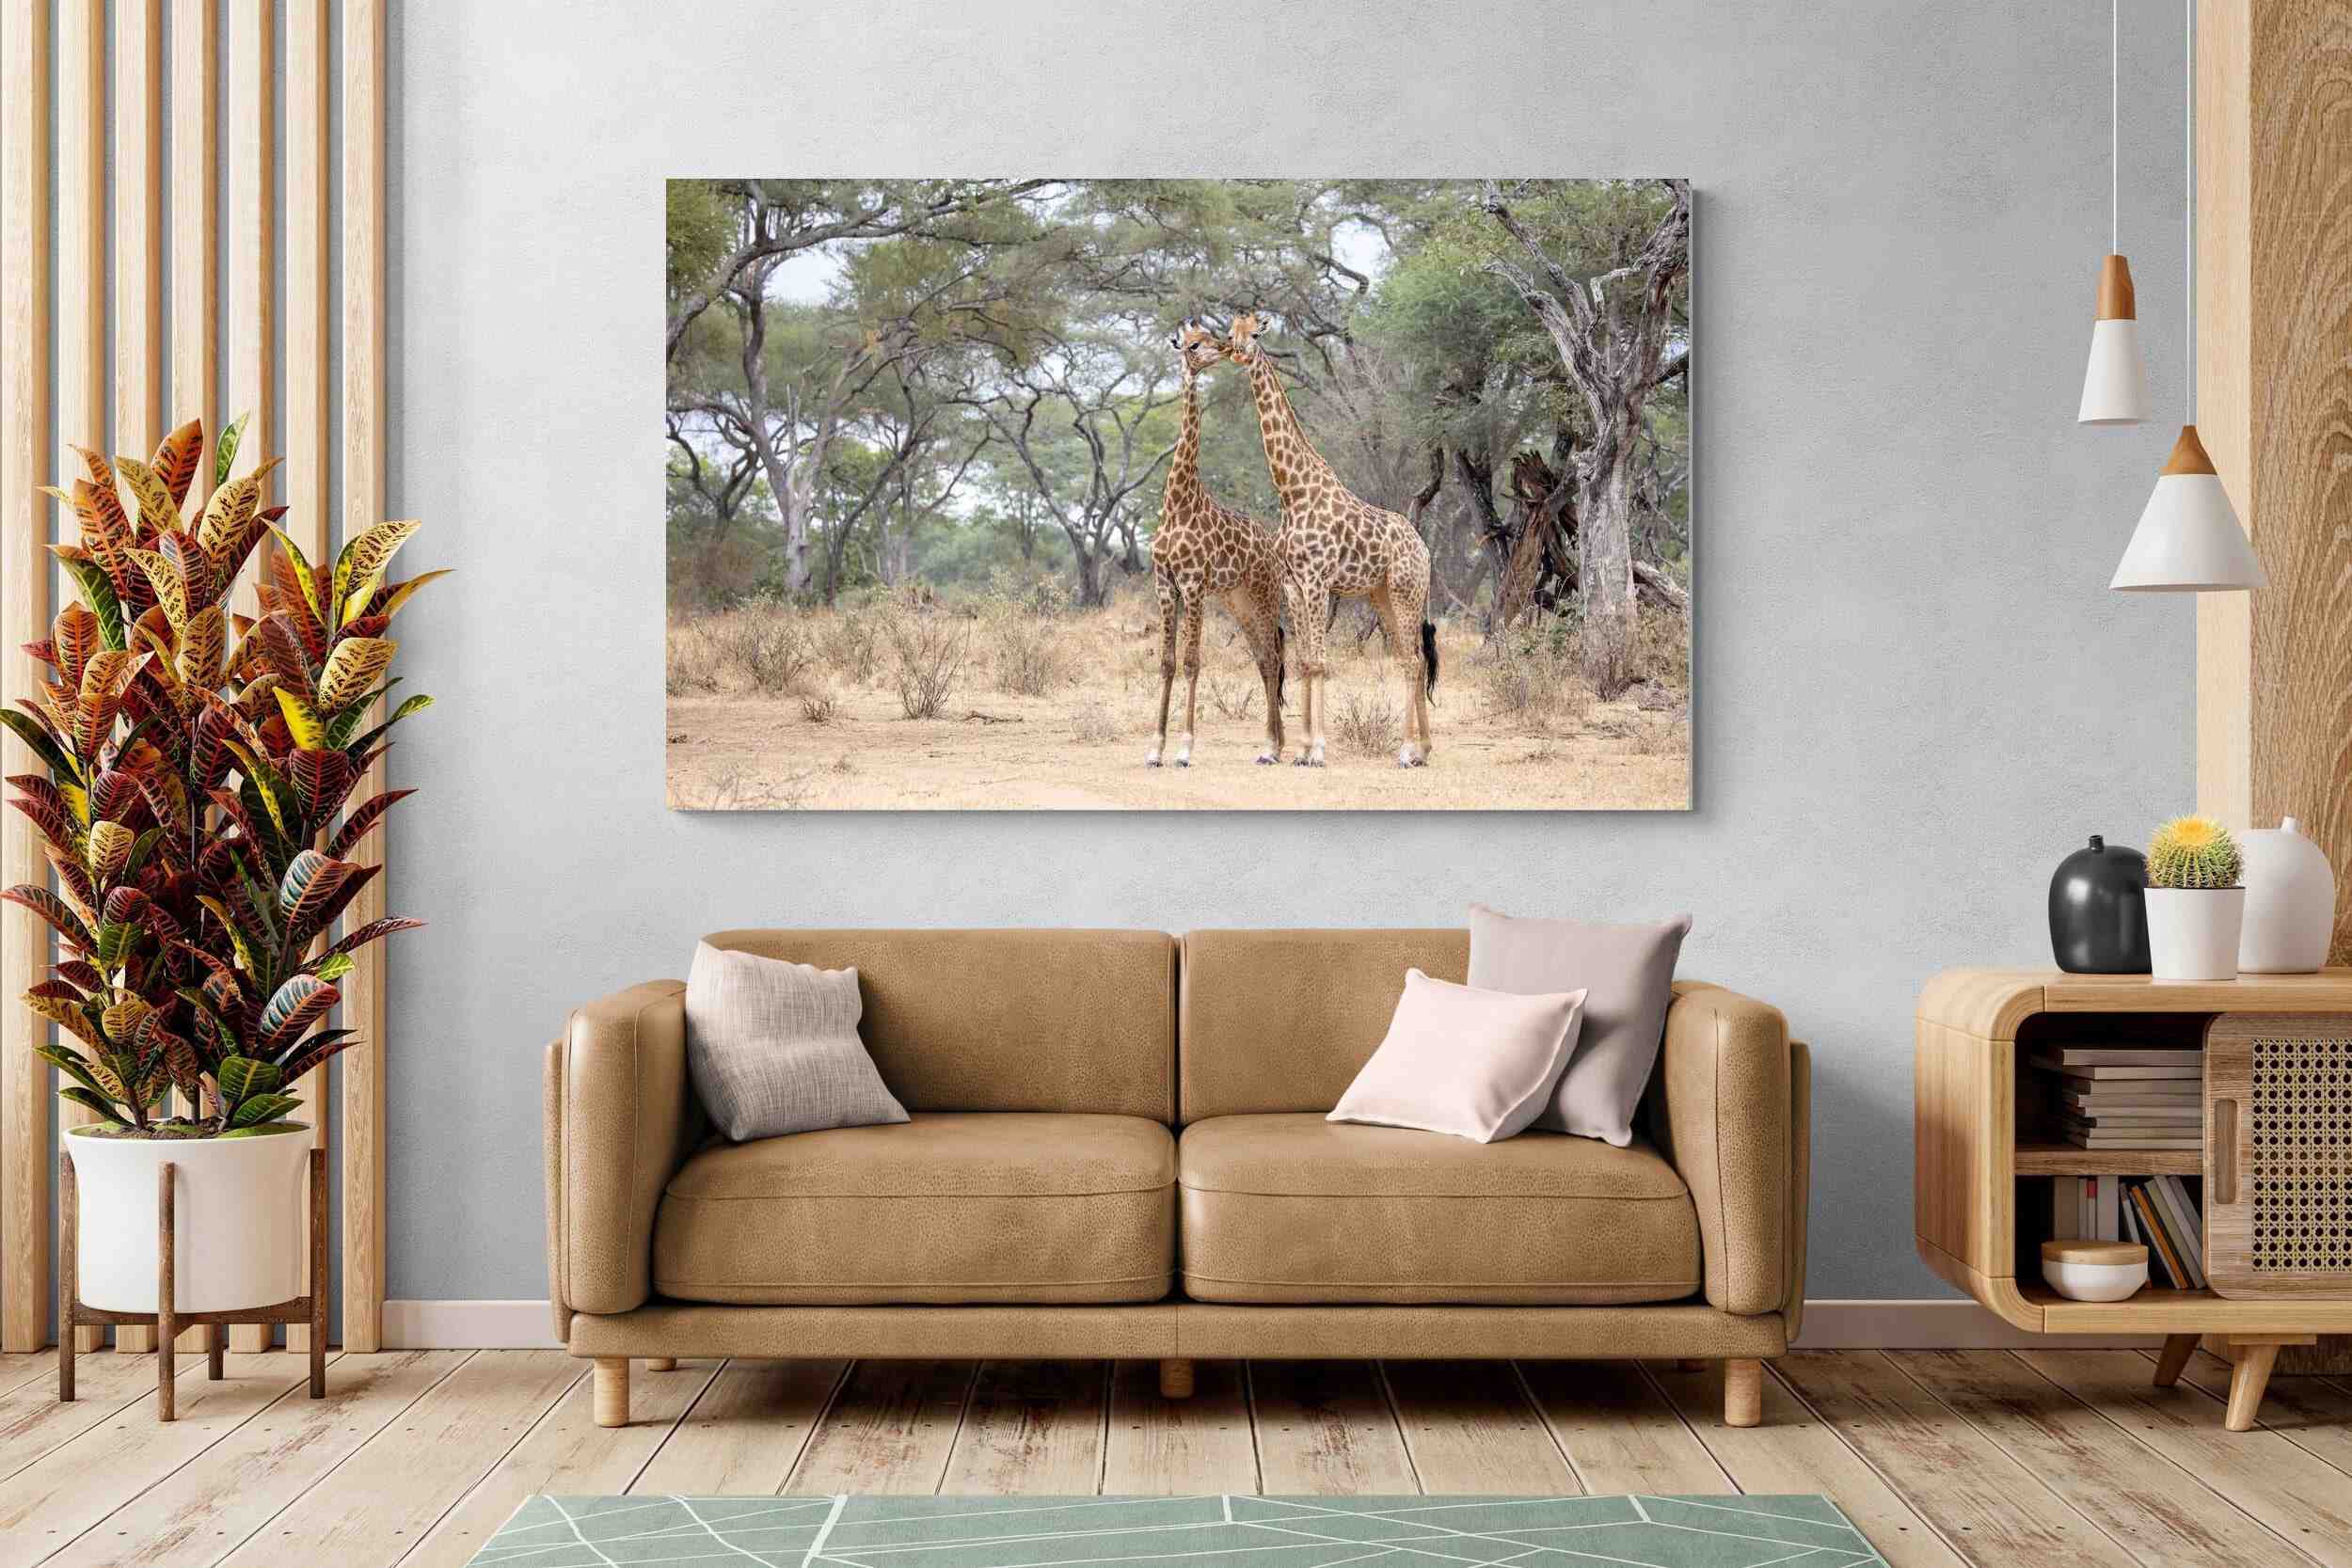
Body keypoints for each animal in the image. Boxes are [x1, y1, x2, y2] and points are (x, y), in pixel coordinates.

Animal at [1145, 319, 1289, 767]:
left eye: (1210, 337)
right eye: (1193, 344)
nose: (1225, 348)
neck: (1177, 502)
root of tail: (1273, 548)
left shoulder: (1193, 585)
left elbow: (1192, 662)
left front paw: (1184, 749)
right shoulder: (1165, 585)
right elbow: (1167, 663)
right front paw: (1154, 749)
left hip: (1264, 595)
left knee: (1273, 657)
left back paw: (1272, 747)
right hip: (1236, 600)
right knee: (1264, 659)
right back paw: (1276, 744)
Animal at [1223, 312, 1437, 767]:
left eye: (1255, 333)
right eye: (1231, 333)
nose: (1238, 352)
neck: (1292, 491)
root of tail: (1424, 549)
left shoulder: (1318, 581)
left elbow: (1320, 662)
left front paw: (1318, 751)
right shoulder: (1294, 584)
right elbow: (1305, 661)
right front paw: (1301, 750)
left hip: (1406, 590)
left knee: (1412, 661)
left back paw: (1405, 751)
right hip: (1382, 595)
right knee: (1411, 659)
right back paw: (1423, 750)